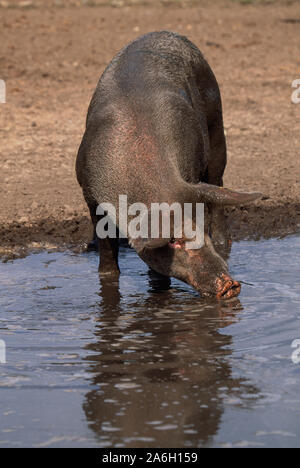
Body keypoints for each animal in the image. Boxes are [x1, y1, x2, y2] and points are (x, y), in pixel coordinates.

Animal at [76, 31, 262, 300]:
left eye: (202, 228)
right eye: (175, 240)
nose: (230, 284)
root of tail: (166, 33)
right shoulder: (89, 193)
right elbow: (107, 252)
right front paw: (107, 272)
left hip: (216, 122)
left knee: (218, 183)